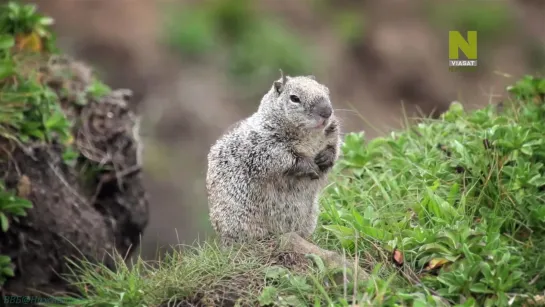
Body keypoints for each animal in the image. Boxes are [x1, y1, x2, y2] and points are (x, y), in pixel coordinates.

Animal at [205, 71, 340, 245]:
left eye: (326, 91)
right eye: (294, 98)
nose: (327, 112)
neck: (309, 137)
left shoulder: (332, 132)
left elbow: (334, 146)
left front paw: (326, 157)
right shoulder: (264, 144)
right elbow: (282, 157)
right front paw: (308, 166)